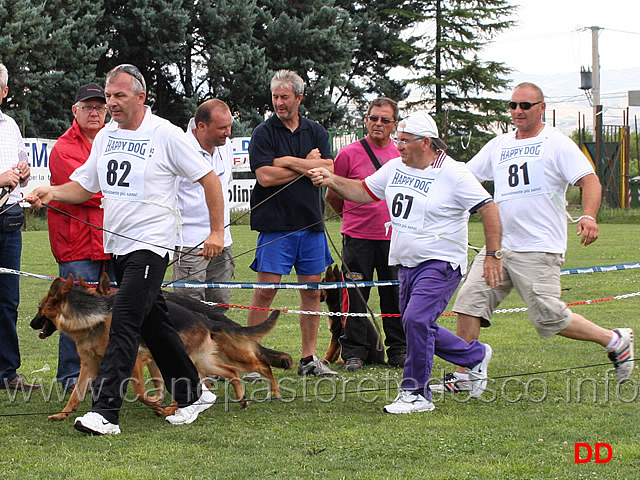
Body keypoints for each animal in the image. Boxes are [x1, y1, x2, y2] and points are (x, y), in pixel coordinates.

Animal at [33, 274, 294, 420]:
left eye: (39, 308)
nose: (31, 323)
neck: (92, 319)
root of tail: (204, 318)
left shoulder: (136, 361)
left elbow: (141, 393)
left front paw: (157, 406)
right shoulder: (89, 366)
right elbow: (75, 395)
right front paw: (63, 414)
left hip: (191, 357)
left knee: (259, 366)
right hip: (202, 359)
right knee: (229, 371)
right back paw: (239, 399)